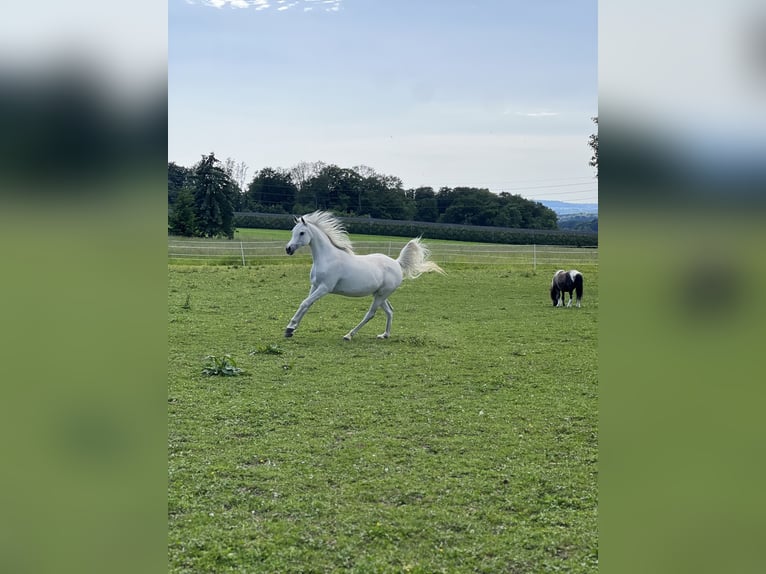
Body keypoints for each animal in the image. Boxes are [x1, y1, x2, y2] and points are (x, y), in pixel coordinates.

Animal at [284, 211, 445, 340]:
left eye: (302, 233)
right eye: (293, 231)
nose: (288, 249)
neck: (327, 258)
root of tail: (396, 263)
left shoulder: (324, 288)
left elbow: (305, 303)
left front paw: (289, 328)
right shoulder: (315, 286)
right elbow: (306, 304)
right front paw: (292, 329)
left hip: (381, 295)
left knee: (370, 314)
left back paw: (349, 335)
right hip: (379, 294)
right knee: (390, 311)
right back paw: (384, 335)